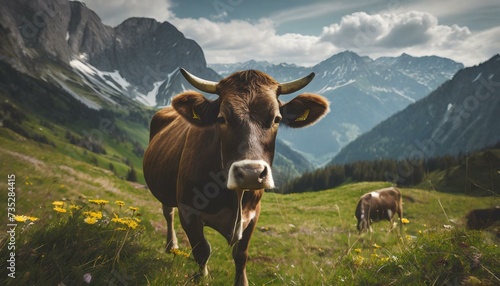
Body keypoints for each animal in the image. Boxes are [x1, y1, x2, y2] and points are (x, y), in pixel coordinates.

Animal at [143, 68, 330, 284]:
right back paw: (171, 245)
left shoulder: (254, 214)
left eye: (276, 119)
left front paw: (242, 281)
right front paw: (202, 277)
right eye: (221, 118)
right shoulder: (188, 211)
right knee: (168, 213)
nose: (251, 173)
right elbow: (202, 251)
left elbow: (241, 255)